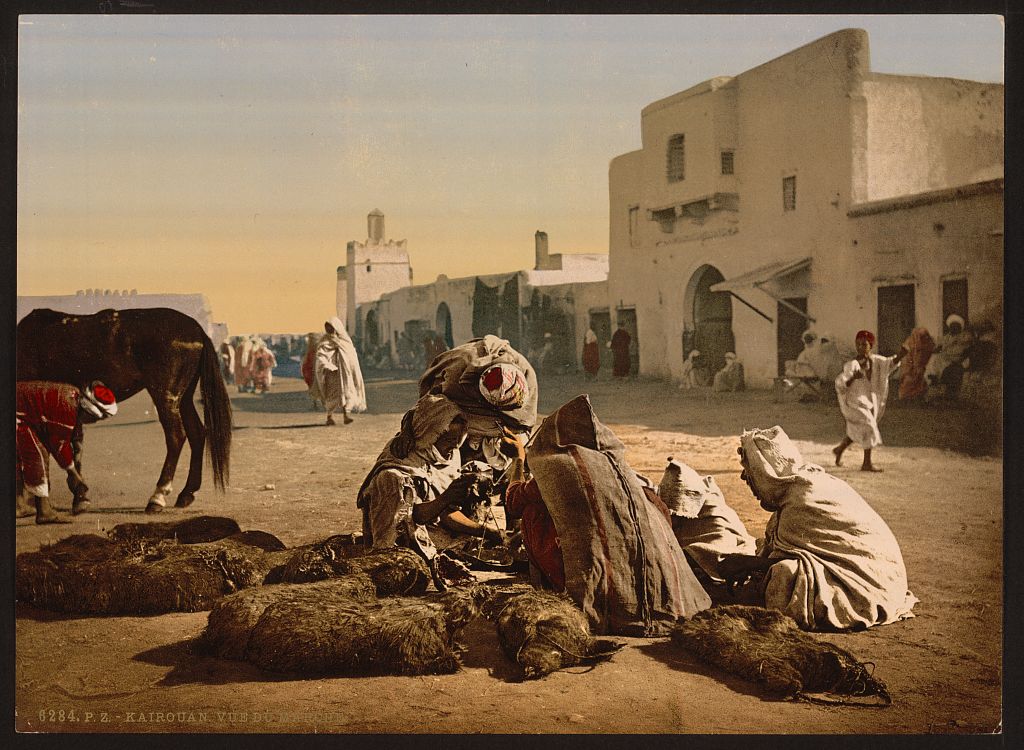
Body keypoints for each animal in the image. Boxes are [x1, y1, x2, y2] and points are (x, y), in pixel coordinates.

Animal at [16, 307, 232, 512]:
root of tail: (197, 330)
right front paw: (76, 496)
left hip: (165, 396)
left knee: (176, 437)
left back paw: (158, 496)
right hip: (184, 398)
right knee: (197, 433)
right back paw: (186, 493)